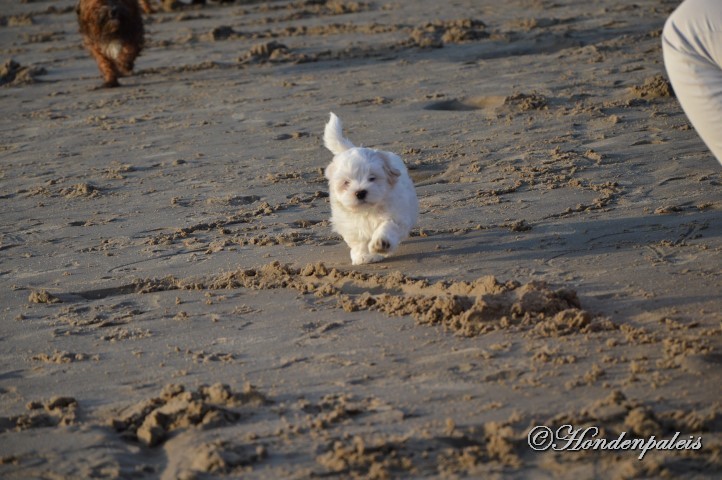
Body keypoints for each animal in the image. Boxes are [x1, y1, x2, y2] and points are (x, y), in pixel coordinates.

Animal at [320, 111, 416, 266]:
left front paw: (381, 243)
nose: (360, 192)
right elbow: (359, 240)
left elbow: (388, 226)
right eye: (346, 183)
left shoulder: (397, 215)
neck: (368, 210)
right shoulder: (351, 225)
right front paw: (363, 256)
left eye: (372, 178)